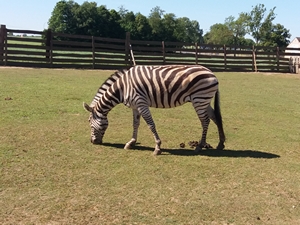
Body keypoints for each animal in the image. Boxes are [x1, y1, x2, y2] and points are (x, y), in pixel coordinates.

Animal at [84, 65, 225, 155]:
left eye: (89, 121)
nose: (93, 142)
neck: (123, 87)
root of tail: (212, 73)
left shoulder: (141, 103)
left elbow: (151, 124)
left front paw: (157, 147)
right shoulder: (135, 106)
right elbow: (135, 124)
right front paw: (131, 143)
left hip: (199, 99)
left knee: (205, 121)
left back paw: (200, 146)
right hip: (204, 100)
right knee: (215, 117)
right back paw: (220, 143)